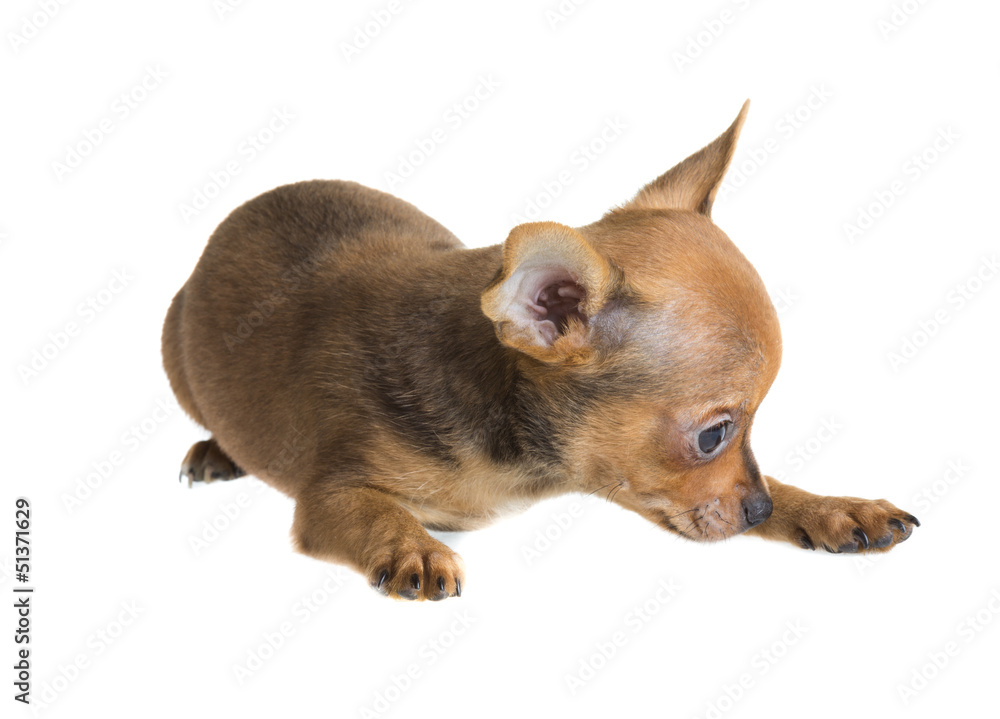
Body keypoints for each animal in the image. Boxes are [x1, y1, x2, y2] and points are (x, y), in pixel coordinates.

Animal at [164, 102, 920, 600]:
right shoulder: (329, 495)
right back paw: (216, 450)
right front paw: (414, 548)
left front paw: (830, 506)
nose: (760, 513)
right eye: (713, 435)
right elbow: (376, 511)